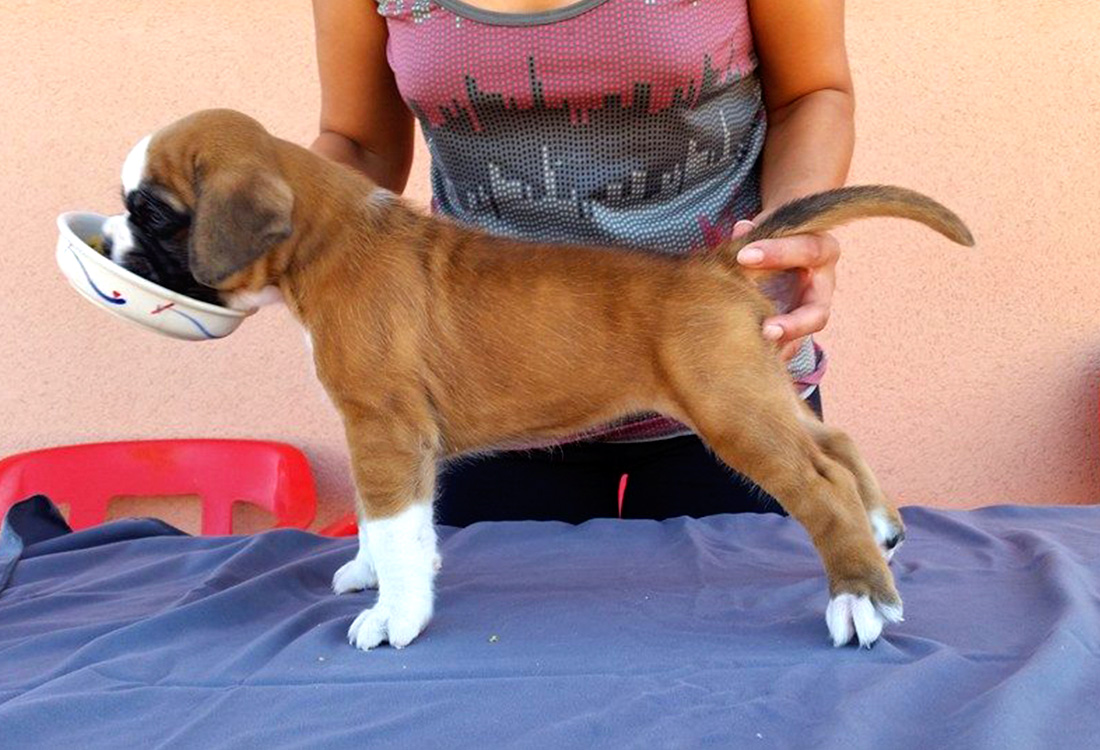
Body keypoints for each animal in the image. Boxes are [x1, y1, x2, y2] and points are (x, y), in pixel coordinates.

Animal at [109, 109, 972, 646]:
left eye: (151, 214)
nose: (112, 243)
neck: (328, 237)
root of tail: (717, 264)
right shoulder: (383, 440)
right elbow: (390, 525)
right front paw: (376, 574)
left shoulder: (384, 429)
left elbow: (391, 523)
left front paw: (395, 613)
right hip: (758, 392)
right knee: (836, 443)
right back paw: (882, 532)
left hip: (731, 410)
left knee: (818, 485)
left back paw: (857, 596)